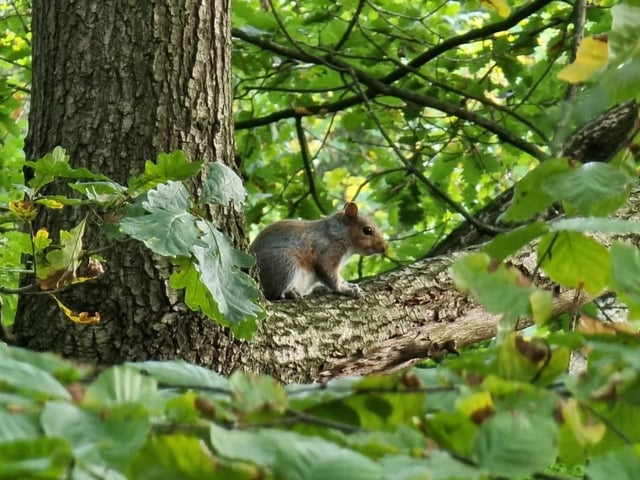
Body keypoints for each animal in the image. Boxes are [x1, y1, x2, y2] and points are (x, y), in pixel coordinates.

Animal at [251, 202, 387, 300]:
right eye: (367, 230)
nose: (384, 248)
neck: (339, 233)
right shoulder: (326, 250)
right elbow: (329, 274)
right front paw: (345, 289)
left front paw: (349, 284)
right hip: (284, 263)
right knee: (272, 293)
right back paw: (289, 293)